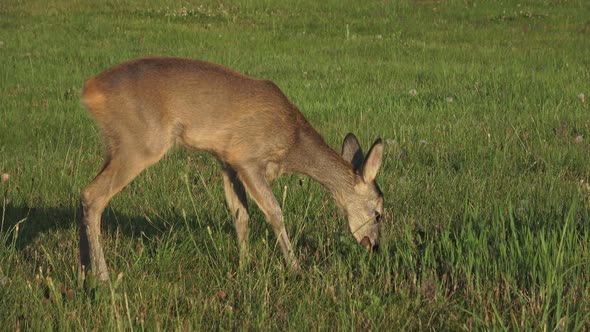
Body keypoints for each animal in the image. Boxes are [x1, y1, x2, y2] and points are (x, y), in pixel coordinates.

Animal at [80, 56, 384, 280]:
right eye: (379, 214)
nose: (376, 246)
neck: (292, 142)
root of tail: (90, 89)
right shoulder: (248, 158)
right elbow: (275, 212)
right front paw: (296, 268)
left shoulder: (228, 162)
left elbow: (241, 215)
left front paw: (244, 266)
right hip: (141, 142)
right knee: (93, 195)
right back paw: (103, 277)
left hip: (116, 145)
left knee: (86, 194)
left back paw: (84, 271)